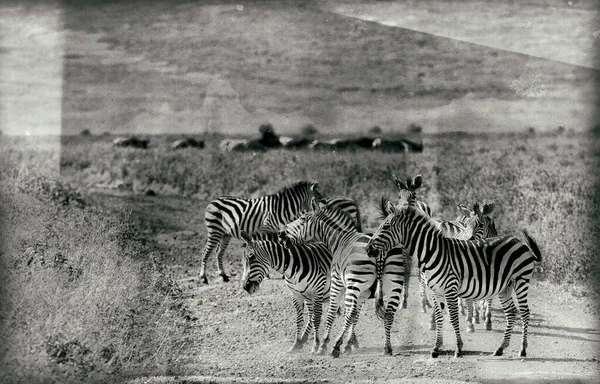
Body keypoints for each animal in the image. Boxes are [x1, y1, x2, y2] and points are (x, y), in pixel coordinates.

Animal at [278, 204, 406, 356]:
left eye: (302, 219)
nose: (281, 235)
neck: (338, 240)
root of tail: (379, 250)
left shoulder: (337, 283)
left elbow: (333, 313)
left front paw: (324, 344)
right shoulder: (362, 293)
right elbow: (355, 315)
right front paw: (349, 344)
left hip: (355, 283)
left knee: (350, 314)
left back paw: (335, 346)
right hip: (394, 285)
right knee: (389, 314)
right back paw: (387, 348)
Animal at [366, 202, 544, 358]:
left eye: (386, 227)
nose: (368, 249)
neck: (433, 252)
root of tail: (518, 241)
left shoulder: (450, 288)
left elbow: (453, 317)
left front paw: (458, 349)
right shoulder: (436, 291)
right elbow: (439, 317)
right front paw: (436, 348)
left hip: (521, 281)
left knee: (525, 312)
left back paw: (522, 350)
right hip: (505, 287)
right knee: (511, 313)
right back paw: (500, 348)